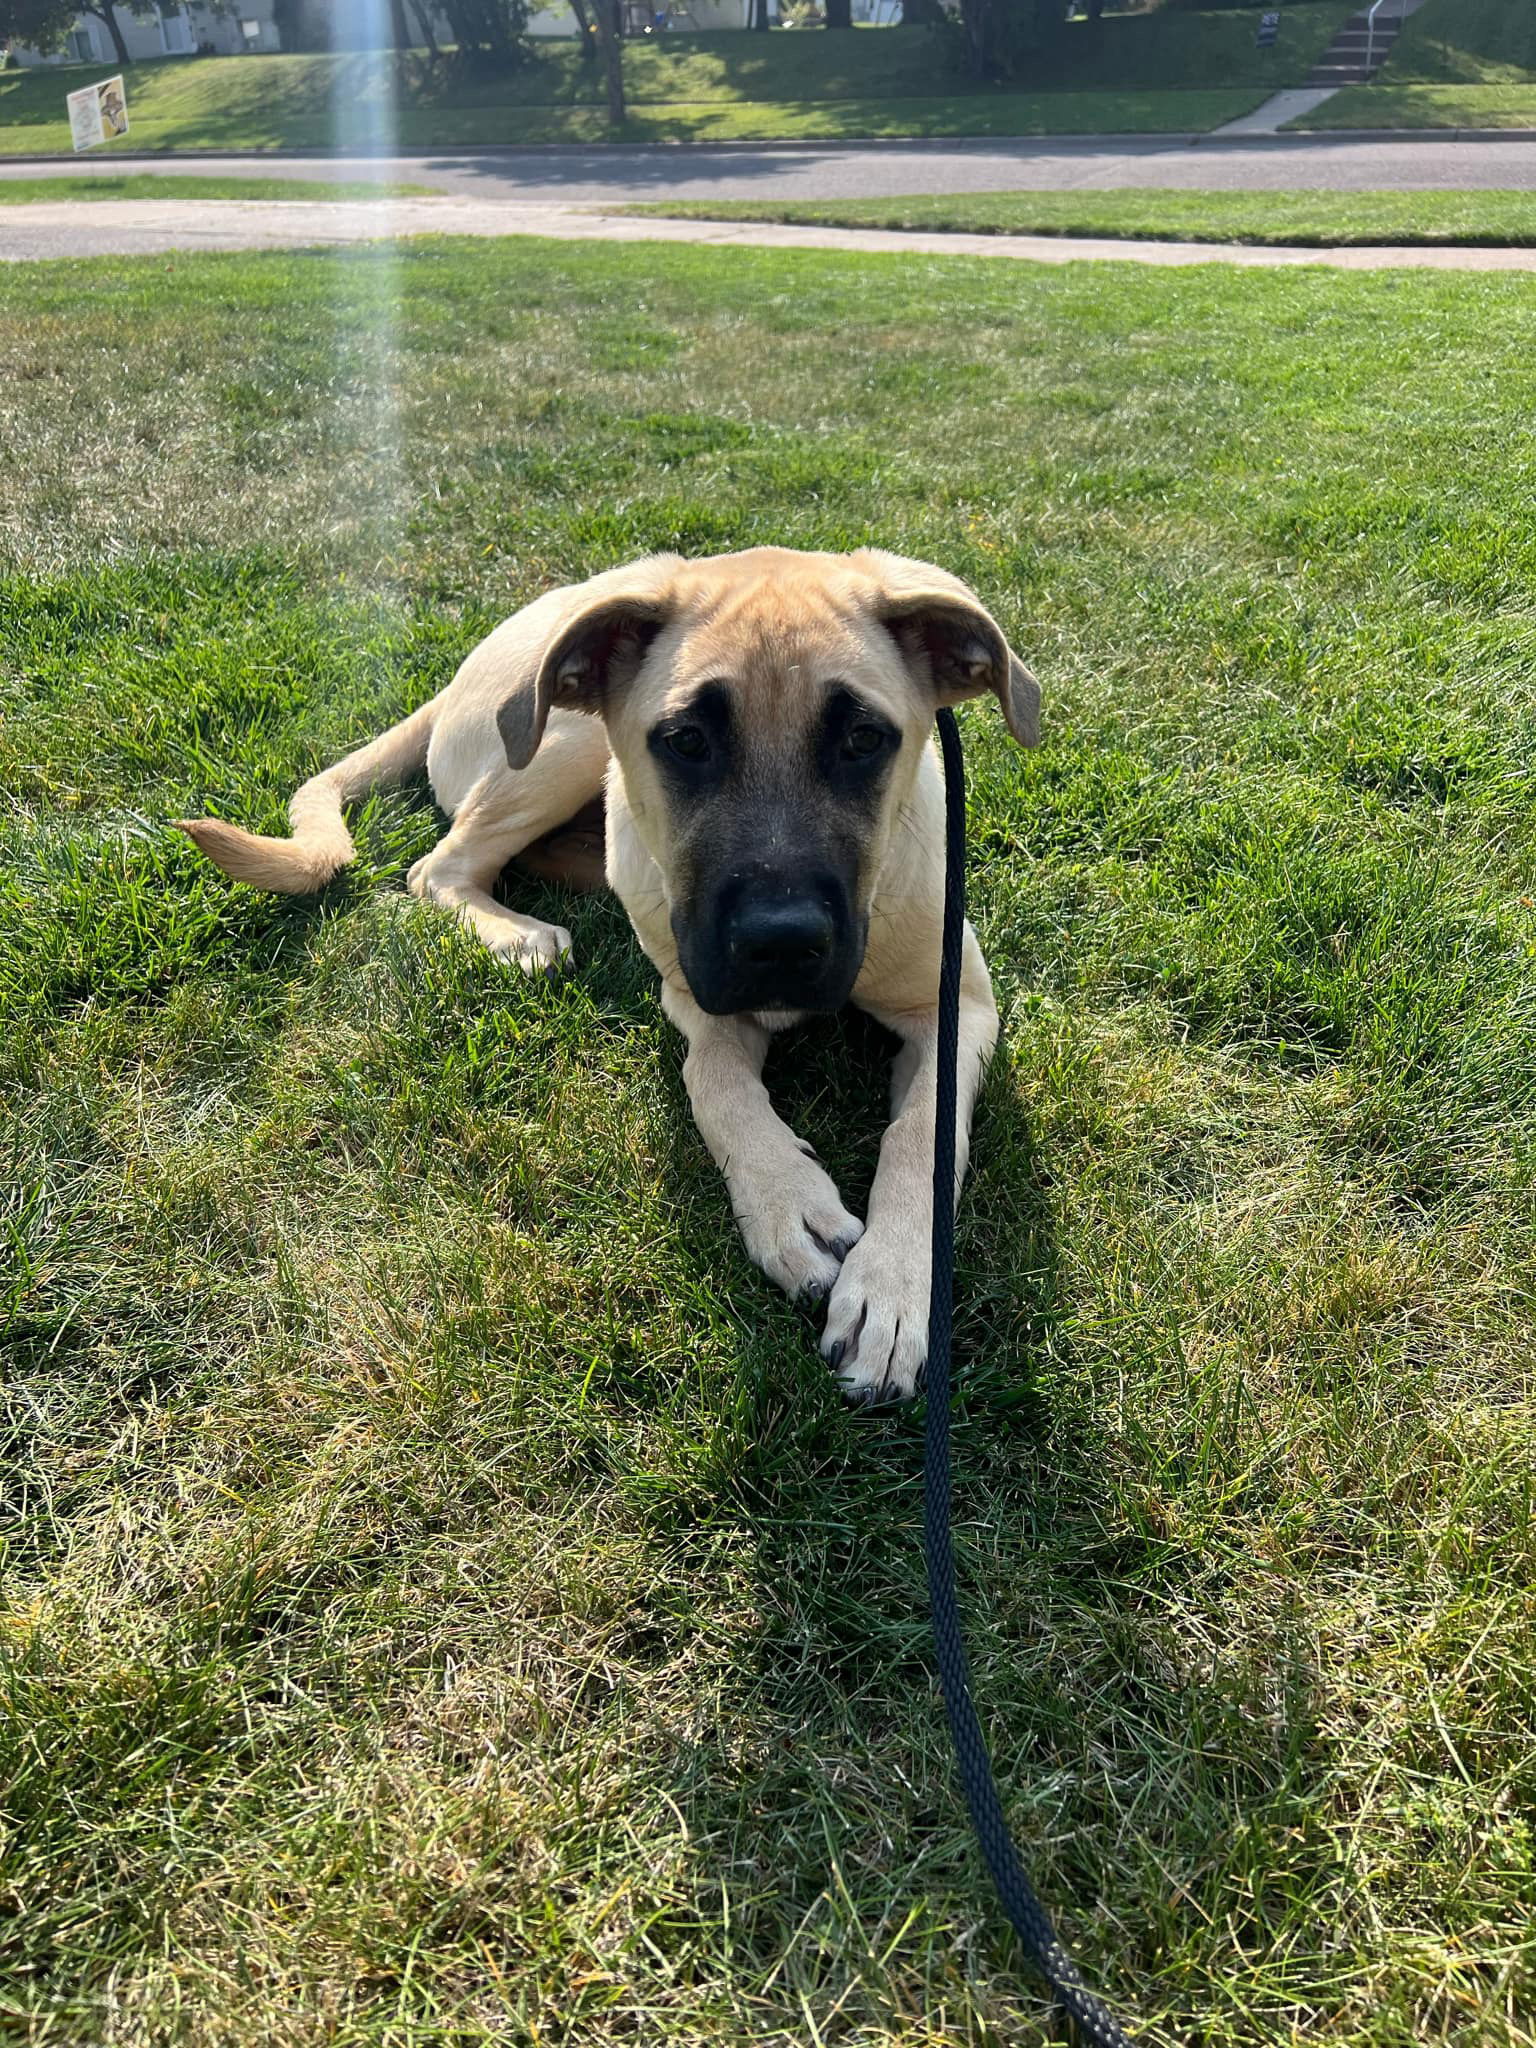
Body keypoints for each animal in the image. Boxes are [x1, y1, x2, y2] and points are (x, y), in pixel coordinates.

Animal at [183, 548, 1048, 1409]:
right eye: (686, 741)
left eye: (865, 739)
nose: (778, 944)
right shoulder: (696, 999)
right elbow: (714, 1084)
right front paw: (785, 1201)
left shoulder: (957, 1006)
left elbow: (923, 1138)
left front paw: (894, 1289)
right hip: (558, 740)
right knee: (439, 866)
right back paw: (517, 937)